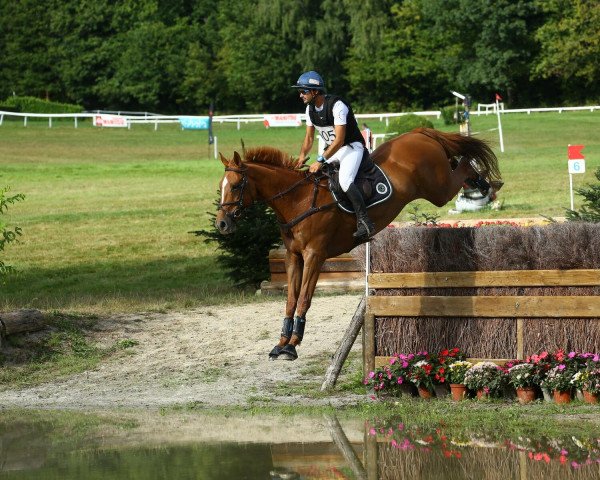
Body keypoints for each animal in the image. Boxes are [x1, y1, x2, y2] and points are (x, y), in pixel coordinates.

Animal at [216, 127, 502, 360]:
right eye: (220, 186)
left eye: (237, 185)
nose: (222, 224)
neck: (297, 199)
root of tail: (418, 133)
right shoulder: (292, 256)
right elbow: (290, 299)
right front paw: (281, 343)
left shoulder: (314, 255)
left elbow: (304, 298)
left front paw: (293, 345)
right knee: (457, 163)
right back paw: (481, 182)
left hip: (438, 189)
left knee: (461, 165)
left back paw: (484, 182)